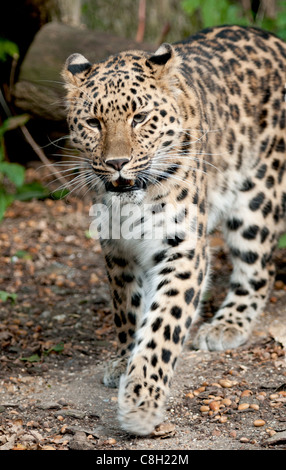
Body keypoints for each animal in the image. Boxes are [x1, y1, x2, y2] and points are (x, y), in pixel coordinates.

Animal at [61, 25, 284, 436]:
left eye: (140, 117)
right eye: (94, 123)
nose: (116, 163)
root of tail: (273, 38)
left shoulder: (183, 249)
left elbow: (163, 324)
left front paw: (141, 401)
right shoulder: (117, 250)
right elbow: (128, 311)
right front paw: (123, 361)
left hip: (257, 197)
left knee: (260, 269)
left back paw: (226, 325)